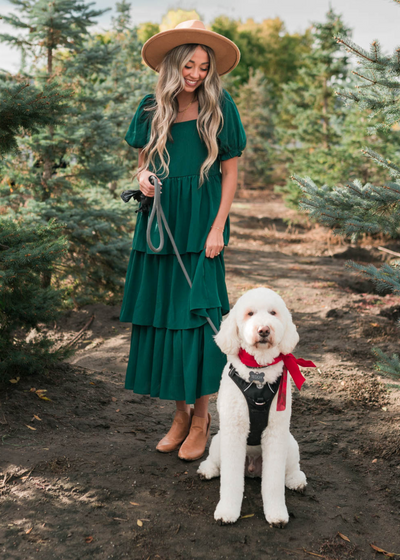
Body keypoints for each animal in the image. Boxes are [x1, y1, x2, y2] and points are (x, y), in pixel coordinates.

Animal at [198, 286, 310, 528]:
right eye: (249, 314)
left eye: (273, 313)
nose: (264, 330)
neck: (258, 373)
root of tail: (251, 468)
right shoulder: (234, 431)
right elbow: (230, 479)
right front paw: (227, 511)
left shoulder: (275, 433)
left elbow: (274, 482)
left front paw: (276, 513)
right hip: (219, 440)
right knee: (217, 462)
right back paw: (207, 469)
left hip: (290, 443)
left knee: (290, 469)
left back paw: (296, 479)